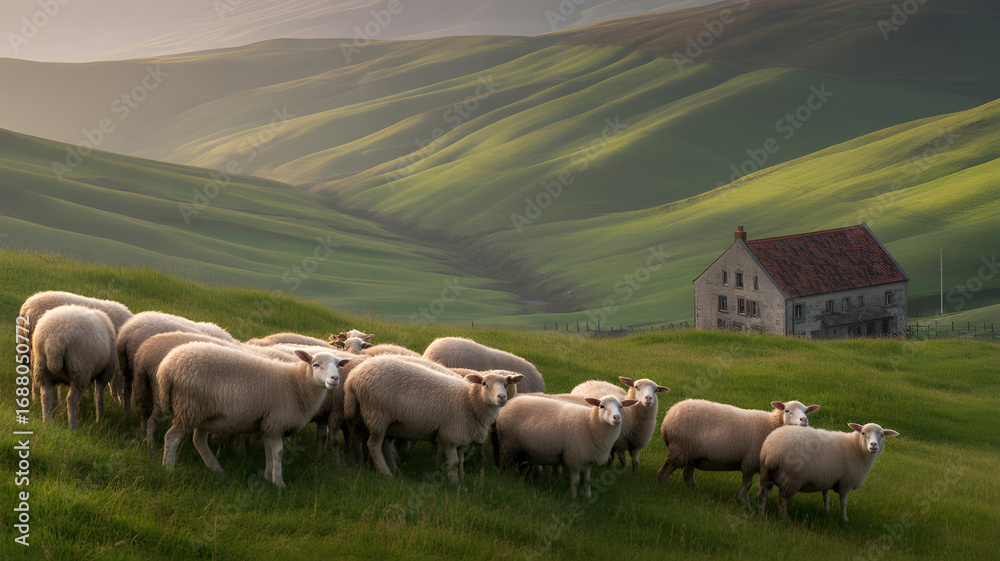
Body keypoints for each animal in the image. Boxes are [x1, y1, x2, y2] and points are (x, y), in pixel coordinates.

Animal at [158, 342, 349, 487]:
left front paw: (268, 476)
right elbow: (278, 452)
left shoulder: (266, 423)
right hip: (190, 408)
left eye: (338, 365)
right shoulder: (276, 421)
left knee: (199, 441)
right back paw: (168, 468)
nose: (335, 379)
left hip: (203, 415)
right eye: (316, 364)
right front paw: (279, 483)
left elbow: (268, 450)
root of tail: (166, 367)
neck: (298, 383)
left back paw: (217, 470)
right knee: (172, 437)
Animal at [343, 355, 523, 482]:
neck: (469, 401)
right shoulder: (450, 435)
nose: (501, 397)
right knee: (373, 445)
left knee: (383, 444)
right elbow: (454, 463)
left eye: (506, 384)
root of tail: (353, 377)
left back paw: (393, 469)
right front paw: (454, 483)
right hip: (377, 414)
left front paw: (462, 478)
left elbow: (461, 461)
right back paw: (386, 473)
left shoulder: (462, 437)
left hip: (387, 421)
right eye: (484, 383)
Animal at [495, 394, 638, 498]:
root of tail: (508, 404)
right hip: (509, 445)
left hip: (520, 449)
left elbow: (587, 481)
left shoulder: (587, 459)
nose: (616, 417)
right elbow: (575, 483)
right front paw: (573, 498)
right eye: (602, 406)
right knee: (508, 467)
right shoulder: (574, 458)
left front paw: (588, 497)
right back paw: (508, 481)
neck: (590, 424)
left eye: (621, 407)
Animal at [656, 399, 820, 508]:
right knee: (664, 472)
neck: (771, 425)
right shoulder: (750, 462)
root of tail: (668, 417)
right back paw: (660, 488)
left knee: (687, 475)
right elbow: (746, 486)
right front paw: (747, 506)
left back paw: (697, 491)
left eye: (806, 411)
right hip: (680, 449)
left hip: (692, 454)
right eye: (787, 410)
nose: (804, 420)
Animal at [758, 423, 899, 521]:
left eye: (882, 434)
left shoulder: (827, 478)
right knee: (781, 501)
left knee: (762, 495)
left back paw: (761, 514)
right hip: (791, 479)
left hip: (766, 474)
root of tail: (771, 451)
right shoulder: (845, 483)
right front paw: (845, 520)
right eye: (863, 433)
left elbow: (826, 497)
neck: (857, 447)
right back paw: (786, 519)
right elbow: (844, 503)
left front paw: (827, 513)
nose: (873, 445)